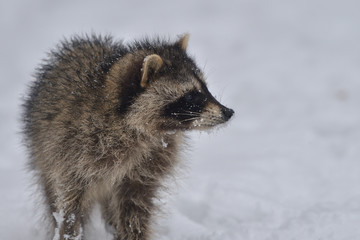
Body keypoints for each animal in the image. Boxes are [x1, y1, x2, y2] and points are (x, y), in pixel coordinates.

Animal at [23, 33, 235, 240]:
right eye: (191, 95)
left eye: (205, 88)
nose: (229, 112)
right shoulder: (73, 150)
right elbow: (71, 206)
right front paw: (69, 232)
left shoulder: (149, 162)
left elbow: (135, 207)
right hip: (44, 152)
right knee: (53, 197)